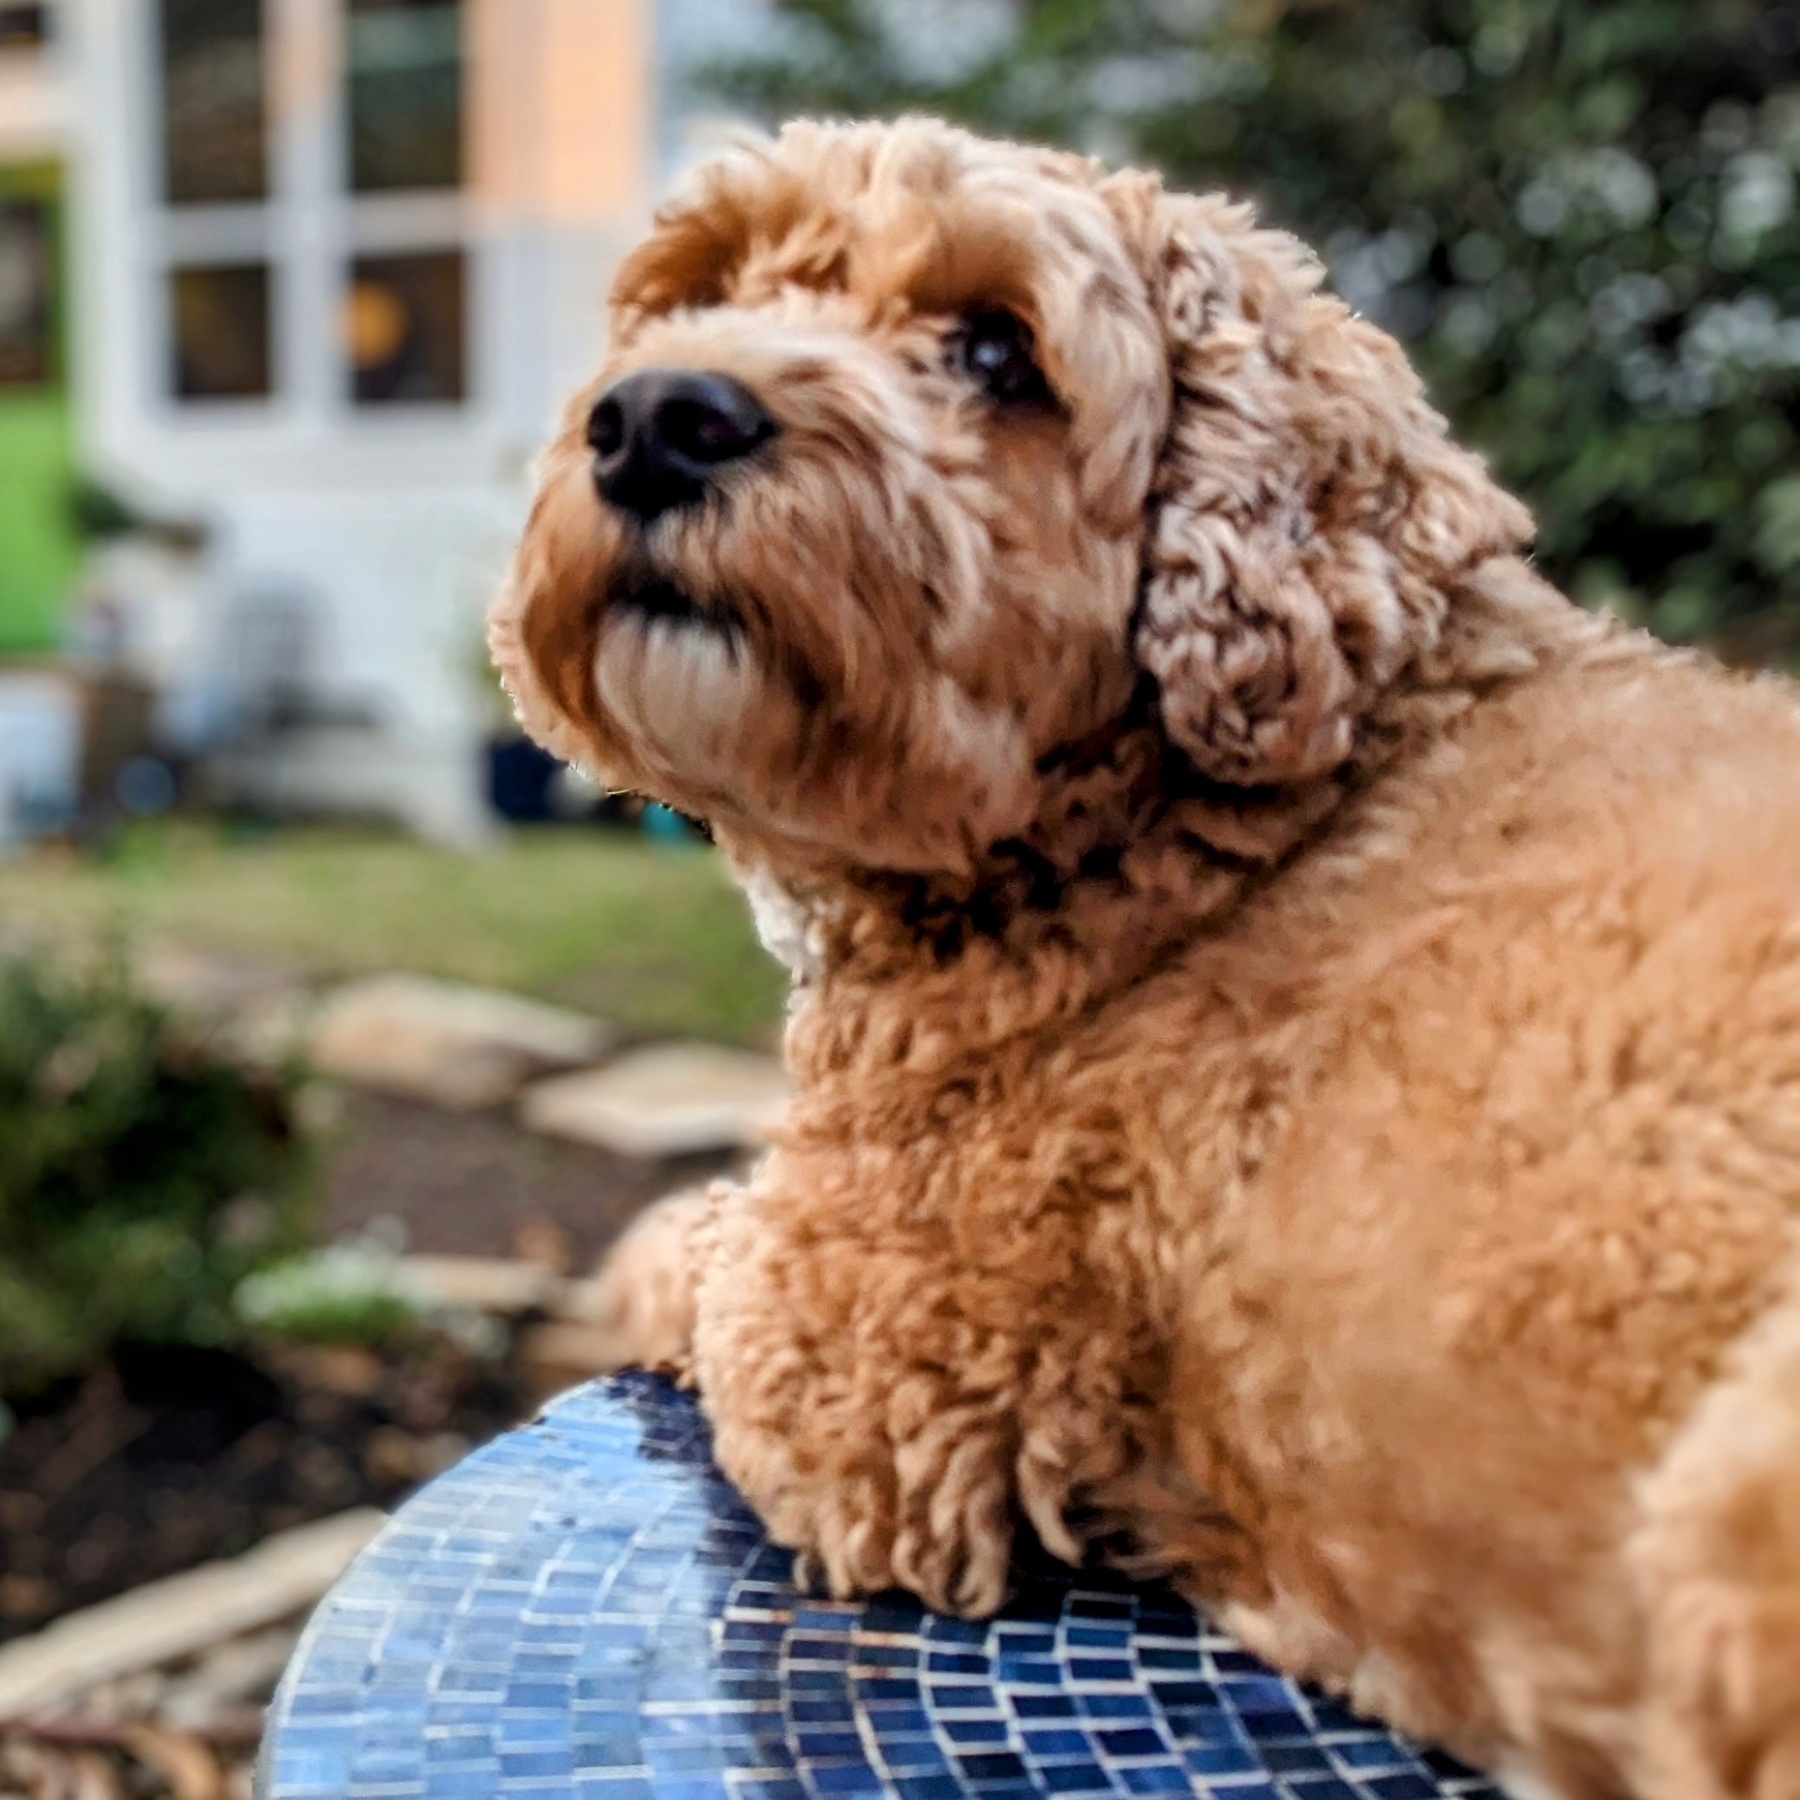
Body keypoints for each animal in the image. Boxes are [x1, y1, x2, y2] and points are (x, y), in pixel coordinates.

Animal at [489, 123, 1800, 1800]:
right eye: (701, 291)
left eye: (998, 350)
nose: (657, 414)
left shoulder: (874, 1354)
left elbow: (699, 1251)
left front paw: (647, 1249)